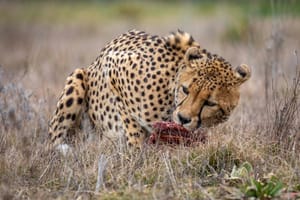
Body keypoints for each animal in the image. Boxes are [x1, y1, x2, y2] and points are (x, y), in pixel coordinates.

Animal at [48, 29, 251, 148]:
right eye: (186, 90)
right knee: (54, 141)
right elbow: (132, 124)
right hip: (77, 77)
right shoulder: (113, 67)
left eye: (210, 103)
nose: (183, 119)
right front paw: (135, 152)